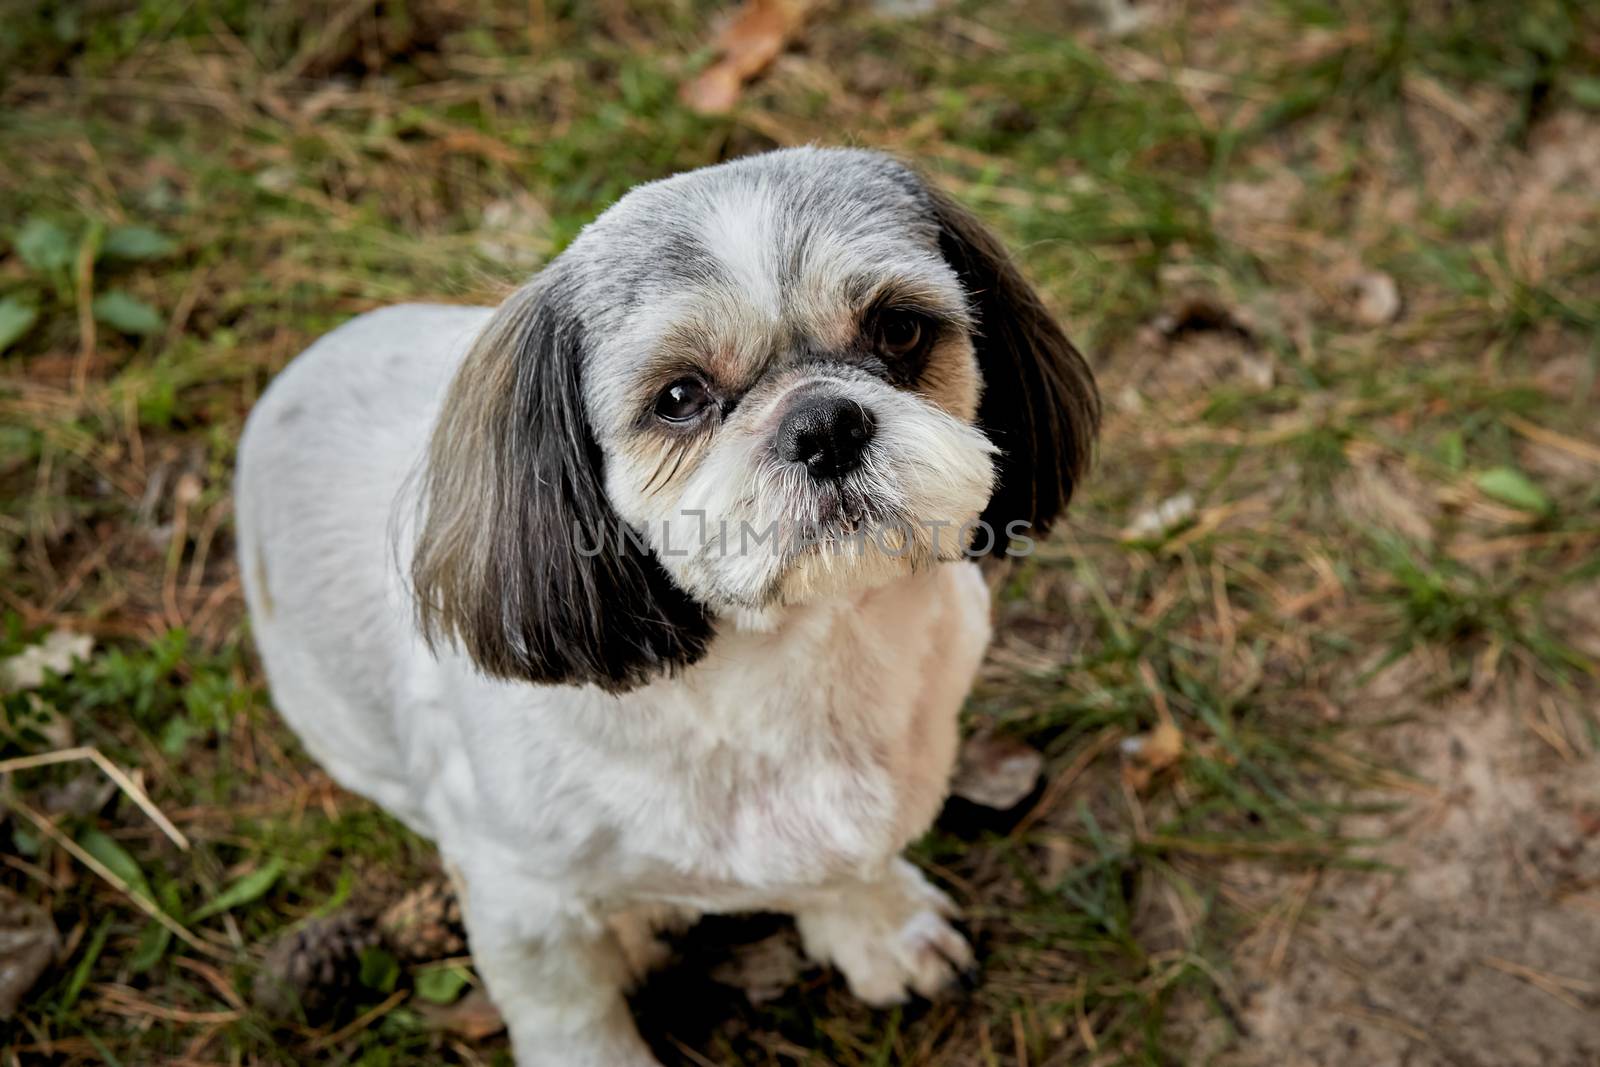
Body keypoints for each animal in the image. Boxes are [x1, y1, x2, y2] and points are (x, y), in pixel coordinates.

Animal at [236, 146, 1100, 1062]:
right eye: (681, 396)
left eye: (899, 329)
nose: (824, 423)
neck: (795, 662)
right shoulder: (520, 892)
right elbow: (570, 1012)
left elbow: (849, 864)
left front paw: (878, 923)